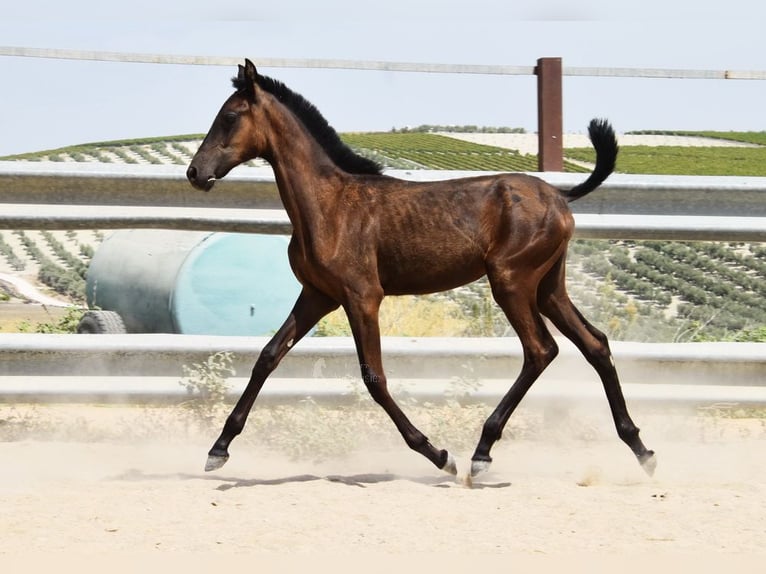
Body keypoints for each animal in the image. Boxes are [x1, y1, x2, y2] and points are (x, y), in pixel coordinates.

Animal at [187, 59, 656, 479]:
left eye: (229, 116)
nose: (194, 172)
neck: (329, 206)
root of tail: (560, 196)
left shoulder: (362, 298)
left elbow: (374, 378)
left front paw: (438, 454)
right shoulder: (318, 296)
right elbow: (267, 357)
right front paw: (217, 449)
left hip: (512, 283)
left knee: (541, 350)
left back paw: (481, 452)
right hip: (548, 287)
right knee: (594, 344)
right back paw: (641, 448)